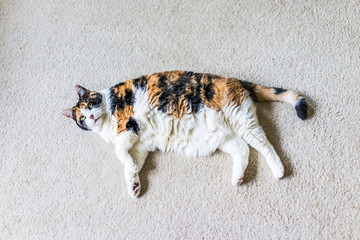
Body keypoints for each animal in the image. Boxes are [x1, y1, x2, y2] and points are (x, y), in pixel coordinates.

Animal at [61, 70, 306, 198]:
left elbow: (119, 151)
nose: (90, 117)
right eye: (80, 119)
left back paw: (279, 170)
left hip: (242, 120)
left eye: (90, 103)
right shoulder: (140, 144)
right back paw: (237, 177)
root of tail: (235, 81)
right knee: (242, 148)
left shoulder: (128, 125)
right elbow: (132, 163)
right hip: (222, 136)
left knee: (264, 143)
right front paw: (134, 184)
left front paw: (130, 171)